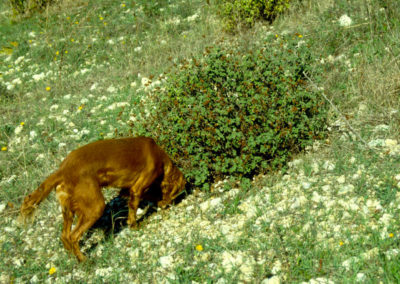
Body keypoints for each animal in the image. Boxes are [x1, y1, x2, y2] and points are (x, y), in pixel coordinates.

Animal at [19, 138, 185, 262]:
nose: (170, 205)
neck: (159, 156)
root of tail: (63, 170)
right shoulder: (138, 188)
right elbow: (135, 207)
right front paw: (135, 224)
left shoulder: (127, 190)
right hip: (96, 207)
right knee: (73, 236)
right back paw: (84, 261)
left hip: (68, 210)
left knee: (65, 236)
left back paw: (74, 258)